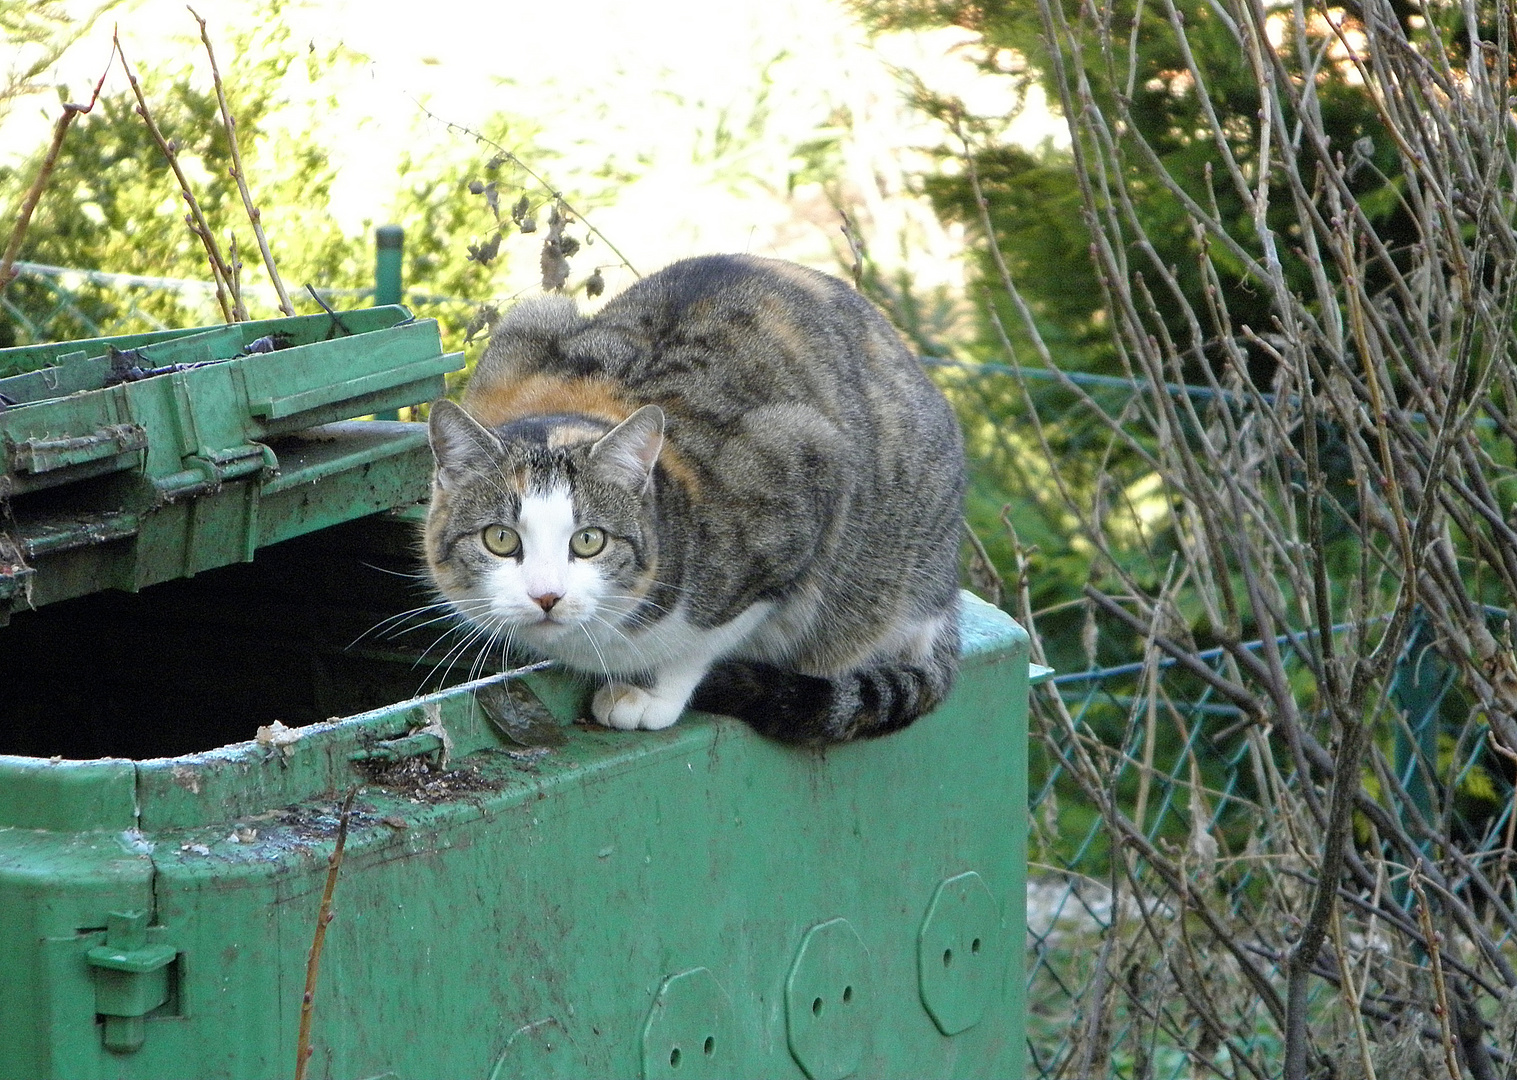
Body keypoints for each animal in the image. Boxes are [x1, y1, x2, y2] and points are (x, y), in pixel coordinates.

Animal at [421, 253, 958, 743]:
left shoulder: (806, 464)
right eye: (500, 539)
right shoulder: (523, 331)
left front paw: (654, 695)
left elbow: (702, 643)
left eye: (589, 541)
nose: (547, 596)